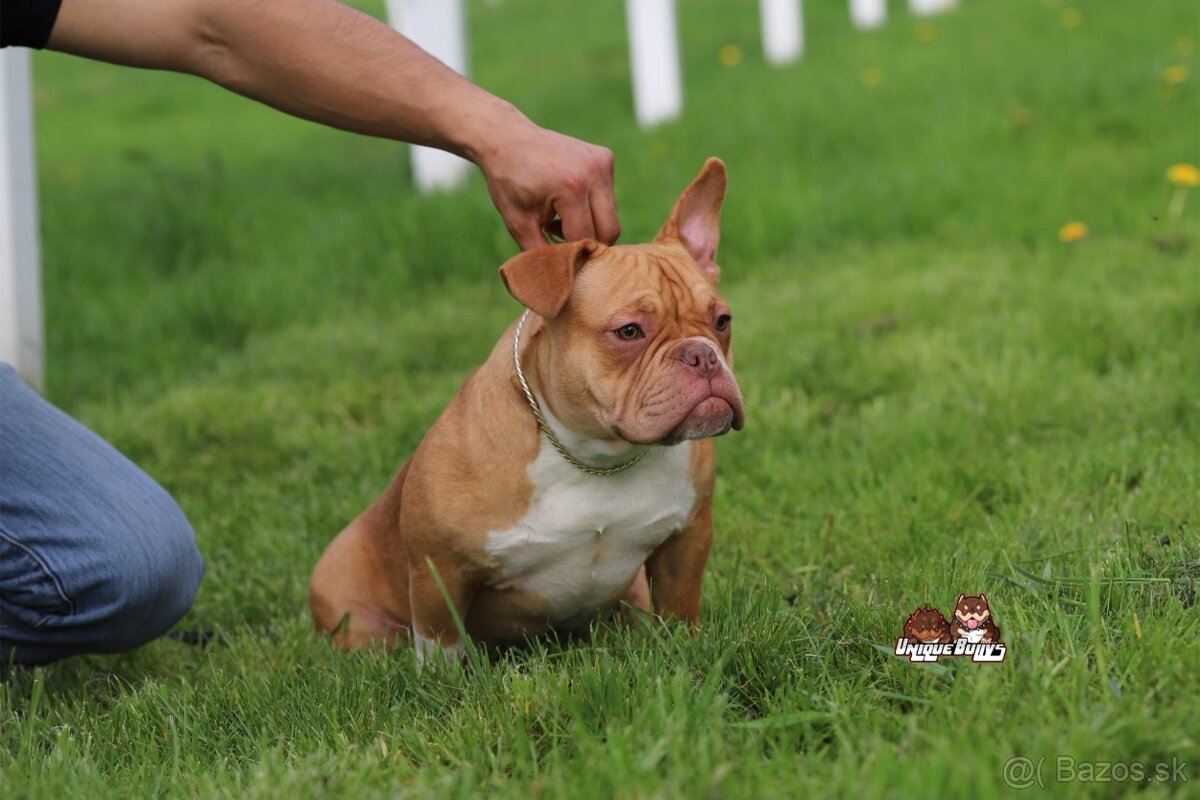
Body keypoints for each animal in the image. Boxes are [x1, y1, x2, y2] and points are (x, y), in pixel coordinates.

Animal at [309, 159, 739, 662]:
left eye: (722, 322)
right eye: (629, 331)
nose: (703, 355)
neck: (595, 457)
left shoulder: (686, 540)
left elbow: (679, 609)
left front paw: (685, 649)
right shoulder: (439, 571)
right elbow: (441, 643)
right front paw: (444, 680)